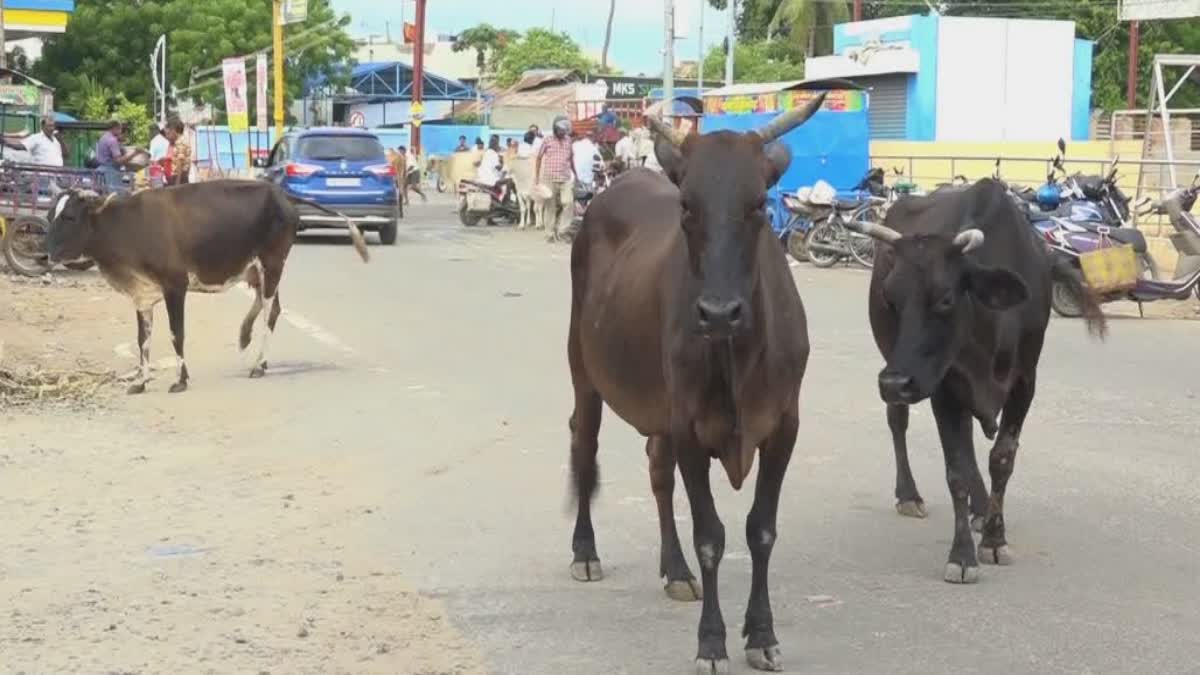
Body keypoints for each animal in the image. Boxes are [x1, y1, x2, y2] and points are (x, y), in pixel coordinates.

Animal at [45, 178, 369, 393]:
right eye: (50, 215)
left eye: (70, 216)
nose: (45, 252)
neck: (125, 225)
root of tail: (279, 192)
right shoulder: (142, 295)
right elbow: (142, 340)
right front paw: (141, 381)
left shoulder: (175, 286)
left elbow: (176, 334)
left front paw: (180, 380)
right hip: (256, 270)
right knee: (274, 308)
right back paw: (248, 342)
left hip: (273, 263)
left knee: (269, 313)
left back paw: (257, 364)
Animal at [561, 91, 825, 667]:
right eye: (687, 206)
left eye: (758, 204)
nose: (719, 313)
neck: (738, 353)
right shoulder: (689, 426)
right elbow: (711, 535)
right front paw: (712, 641)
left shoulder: (784, 427)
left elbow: (761, 529)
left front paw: (762, 634)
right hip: (583, 370)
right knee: (585, 445)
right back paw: (585, 551)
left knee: (658, 474)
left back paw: (675, 570)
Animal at [840, 178, 1099, 583]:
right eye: (890, 298)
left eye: (946, 299)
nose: (894, 382)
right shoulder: (943, 386)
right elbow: (957, 470)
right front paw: (962, 555)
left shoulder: (1025, 382)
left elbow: (1001, 459)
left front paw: (994, 538)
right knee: (898, 421)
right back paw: (910, 495)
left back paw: (980, 510)